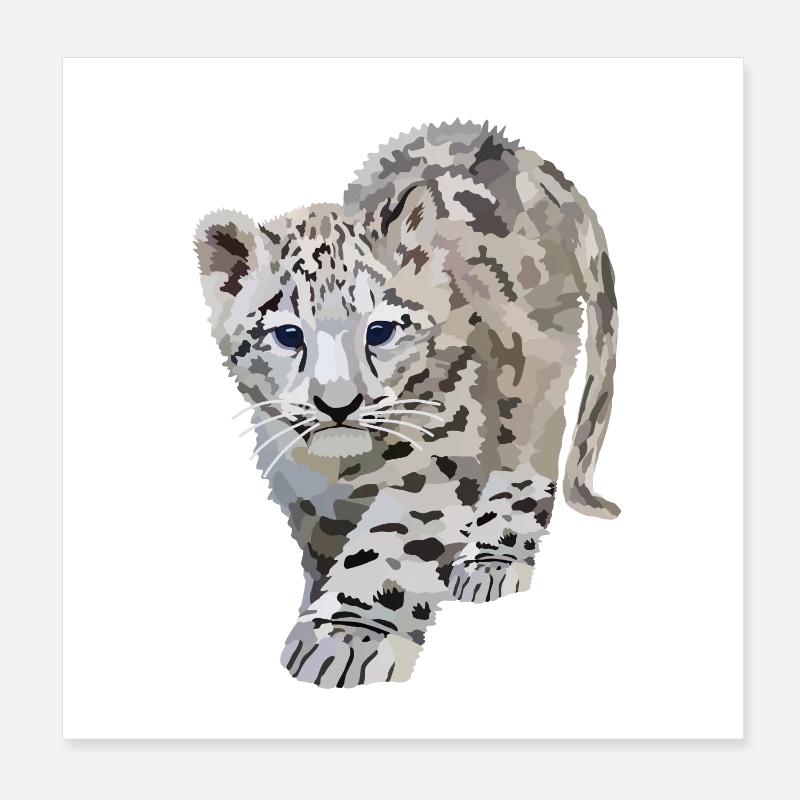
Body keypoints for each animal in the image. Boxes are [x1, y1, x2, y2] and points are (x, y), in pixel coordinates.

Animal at [193, 121, 620, 688]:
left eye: (380, 330)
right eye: (287, 334)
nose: (337, 405)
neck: (341, 470)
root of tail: (510, 148)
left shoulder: (439, 458)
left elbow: (388, 545)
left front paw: (343, 637)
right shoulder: (299, 489)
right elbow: (325, 545)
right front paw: (317, 602)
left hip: (533, 385)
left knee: (527, 460)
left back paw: (492, 561)